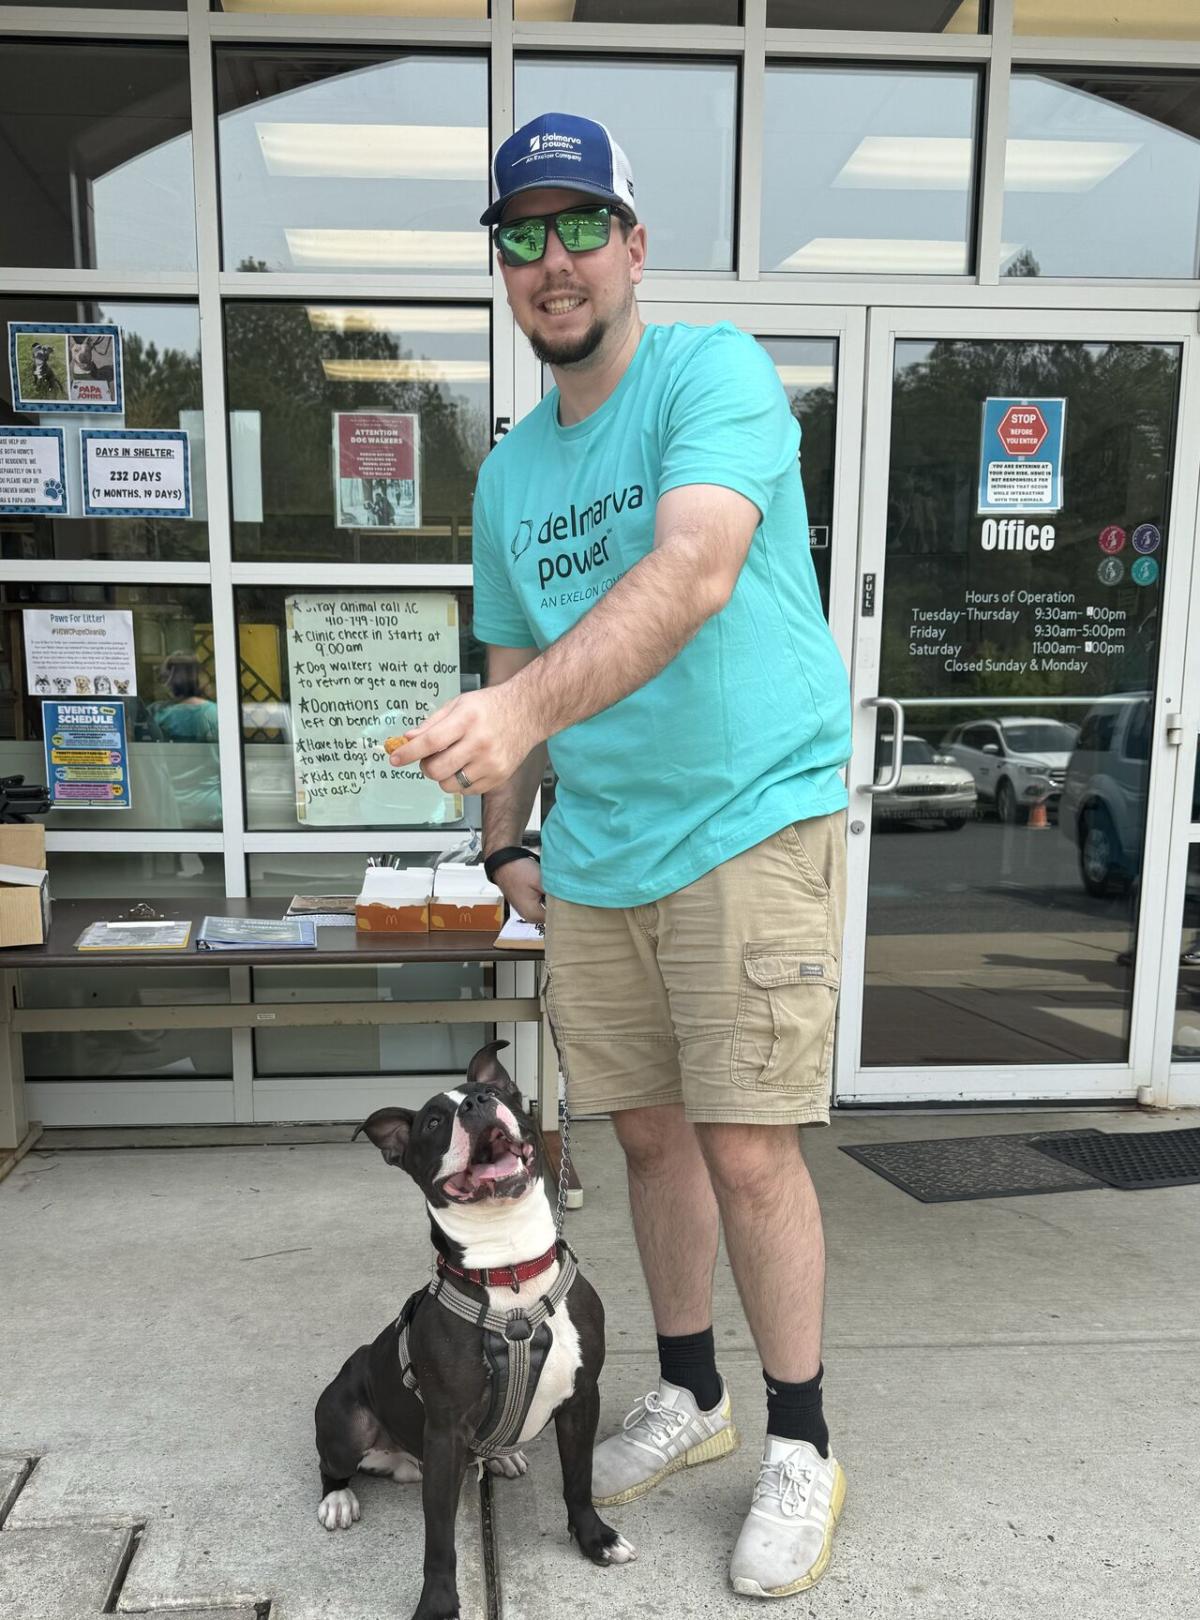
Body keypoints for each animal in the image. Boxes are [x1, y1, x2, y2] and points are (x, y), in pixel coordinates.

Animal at [319, 1036, 638, 1620]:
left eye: (495, 1093)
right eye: (432, 1122)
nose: (474, 1105)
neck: (510, 1272)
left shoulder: (582, 1398)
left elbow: (578, 1480)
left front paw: (594, 1539)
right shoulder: (446, 1433)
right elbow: (439, 1540)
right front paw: (438, 1605)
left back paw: (503, 1455)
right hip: (345, 1421)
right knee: (332, 1463)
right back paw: (337, 1499)